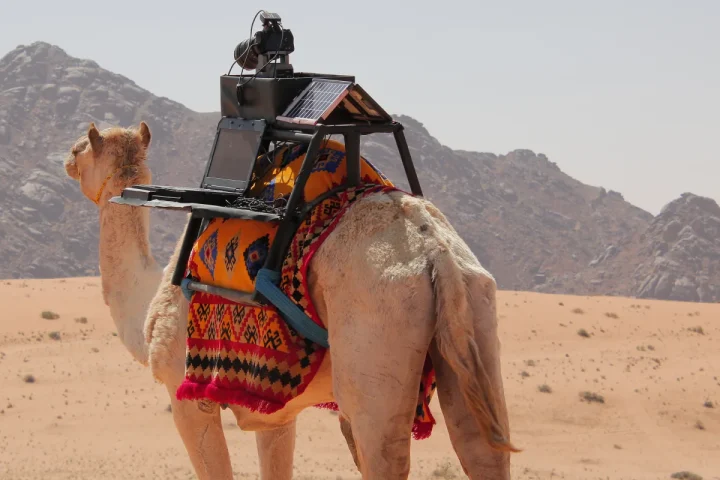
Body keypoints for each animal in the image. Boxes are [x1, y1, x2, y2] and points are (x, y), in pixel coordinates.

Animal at [64, 121, 517, 479]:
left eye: (80, 147)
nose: (65, 160)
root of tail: (437, 252)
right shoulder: (271, 408)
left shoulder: (187, 396)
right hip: (475, 312)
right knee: (482, 449)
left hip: (377, 346)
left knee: (385, 453)